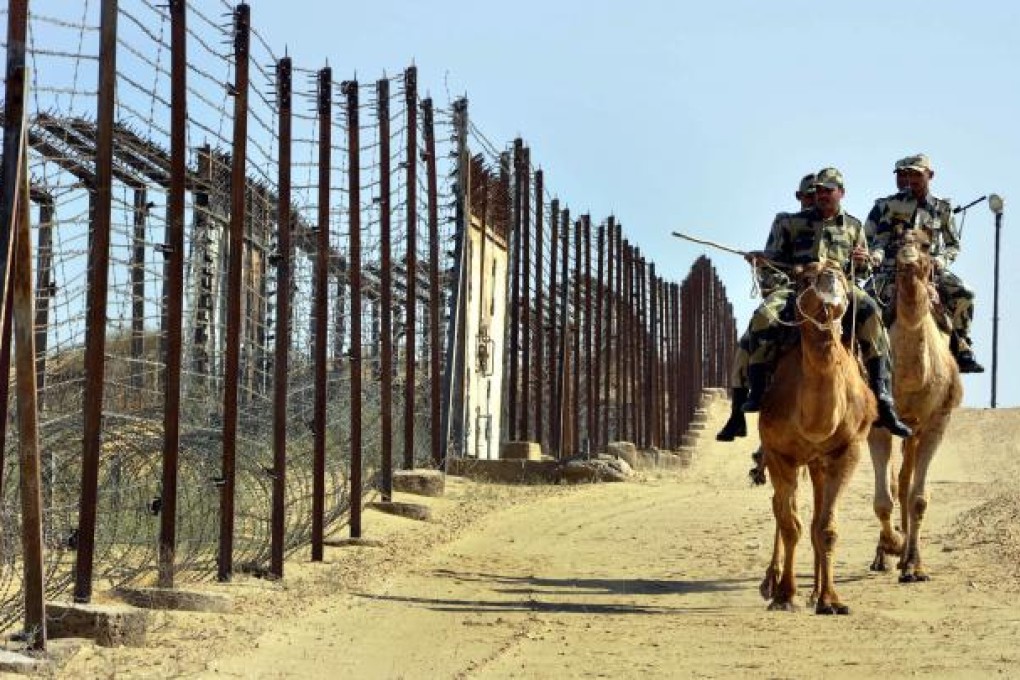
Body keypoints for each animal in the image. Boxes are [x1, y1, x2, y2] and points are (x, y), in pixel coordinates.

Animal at [758, 263, 877, 615]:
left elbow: (826, 528)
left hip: (819, 463)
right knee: (782, 509)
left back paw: (815, 593)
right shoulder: (778, 452)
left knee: (814, 518)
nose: (830, 276)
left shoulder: (848, 450)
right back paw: (772, 583)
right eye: (804, 277)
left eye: (842, 275)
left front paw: (832, 601)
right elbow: (790, 525)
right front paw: (785, 596)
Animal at [864, 231, 958, 583]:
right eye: (896, 242)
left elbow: (918, 498)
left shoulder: (936, 421)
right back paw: (886, 555)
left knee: (906, 481)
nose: (907, 258)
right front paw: (892, 547)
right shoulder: (880, 423)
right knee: (896, 481)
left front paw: (915, 566)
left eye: (927, 245)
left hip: (915, 430)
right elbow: (883, 498)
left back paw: (906, 556)